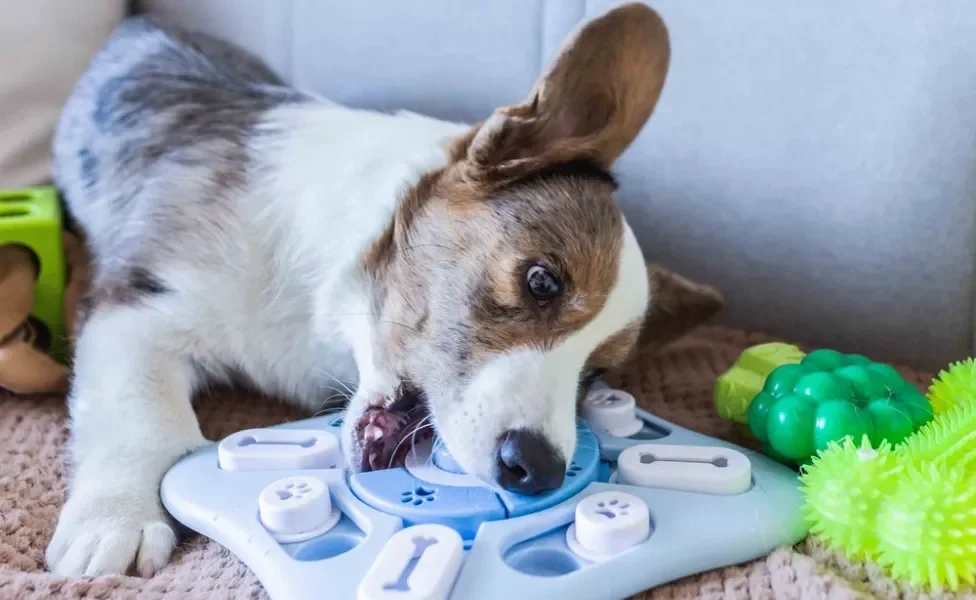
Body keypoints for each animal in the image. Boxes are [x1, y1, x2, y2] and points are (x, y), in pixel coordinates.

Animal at [45, 2, 720, 580]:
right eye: (541, 281)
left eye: (597, 374)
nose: (540, 472)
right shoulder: (138, 305)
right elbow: (143, 418)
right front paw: (115, 524)